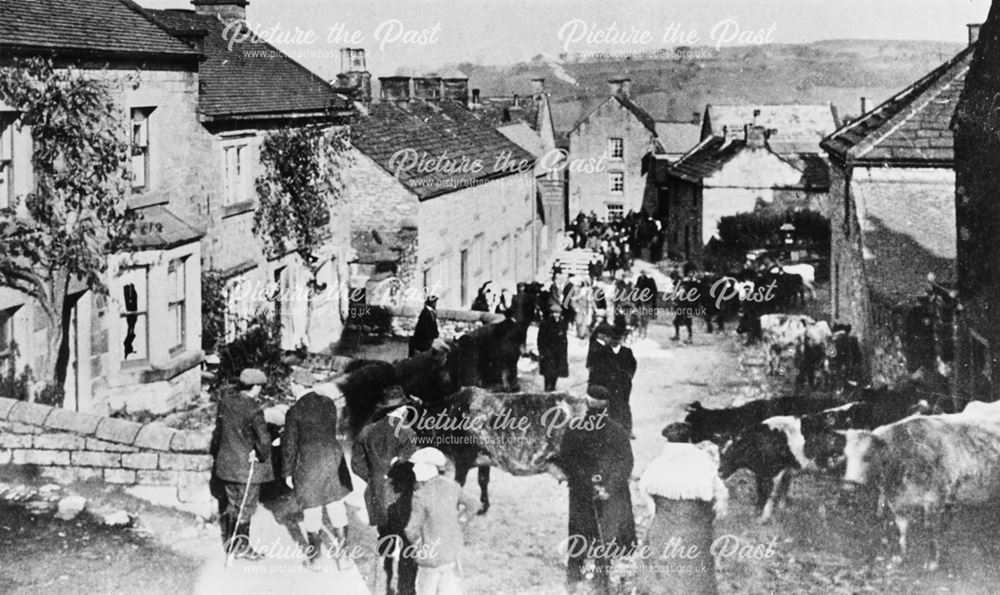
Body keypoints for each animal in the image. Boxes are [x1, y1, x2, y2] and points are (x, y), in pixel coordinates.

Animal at [844, 402, 1000, 572]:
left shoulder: (934, 498)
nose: (849, 483)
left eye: (867, 456)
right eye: (846, 455)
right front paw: (899, 557)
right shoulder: (897, 501)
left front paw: (932, 562)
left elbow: (930, 528)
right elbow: (901, 528)